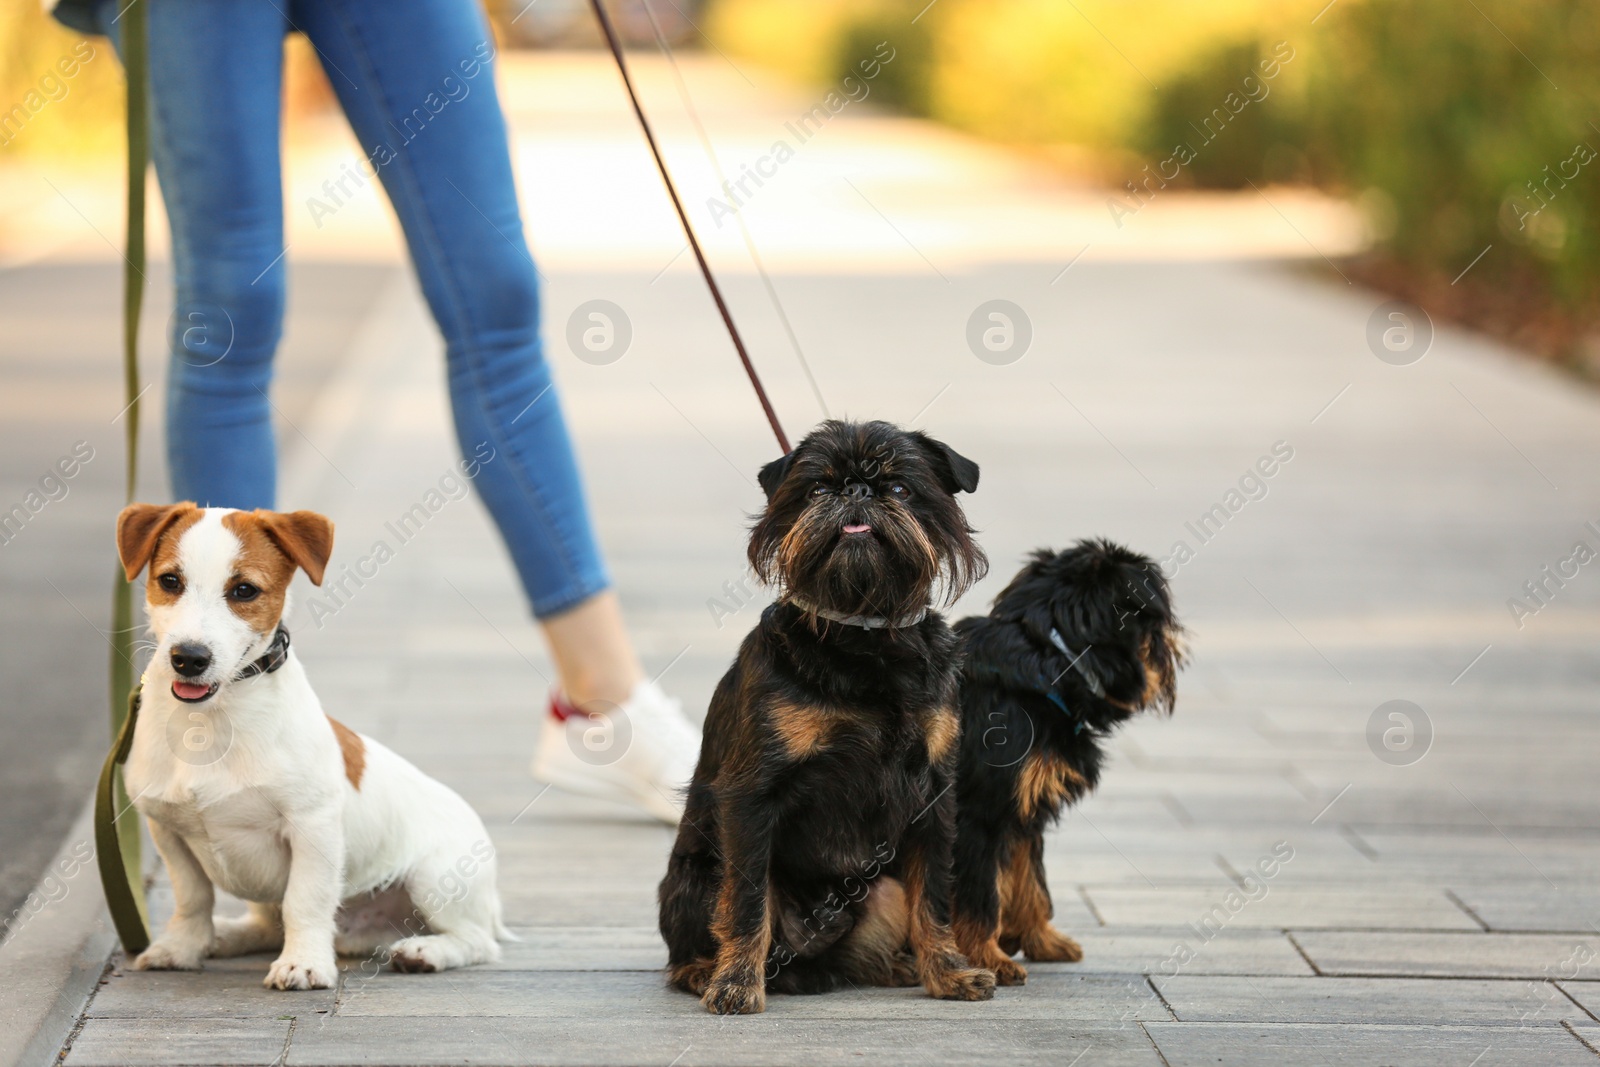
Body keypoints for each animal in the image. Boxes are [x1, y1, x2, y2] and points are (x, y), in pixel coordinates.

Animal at [116, 505, 508, 991]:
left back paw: (425, 951)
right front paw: (183, 947)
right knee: (269, 924)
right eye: (170, 581)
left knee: (477, 941)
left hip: (433, 877)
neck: (210, 721)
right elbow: (192, 898)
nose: (189, 658)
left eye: (244, 590)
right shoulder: (167, 830)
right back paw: (225, 936)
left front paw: (303, 963)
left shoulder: (312, 827)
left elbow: (304, 901)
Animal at [656, 419, 992, 1017]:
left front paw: (949, 972)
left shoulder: (934, 798)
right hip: (699, 874)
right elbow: (746, 904)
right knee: (709, 929)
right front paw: (736, 984)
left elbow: (934, 897)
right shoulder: (750, 798)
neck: (865, 635)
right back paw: (704, 971)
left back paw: (902, 967)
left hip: (883, 890)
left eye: (900, 488)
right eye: (816, 490)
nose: (856, 490)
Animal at [940, 547, 1184, 991]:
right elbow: (979, 894)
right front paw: (987, 956)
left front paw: (1039, 938)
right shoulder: (978, 817)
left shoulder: (1023, 812)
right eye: (1155, 628)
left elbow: (1031, 880)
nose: (1174, 641)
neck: (1053, 660)